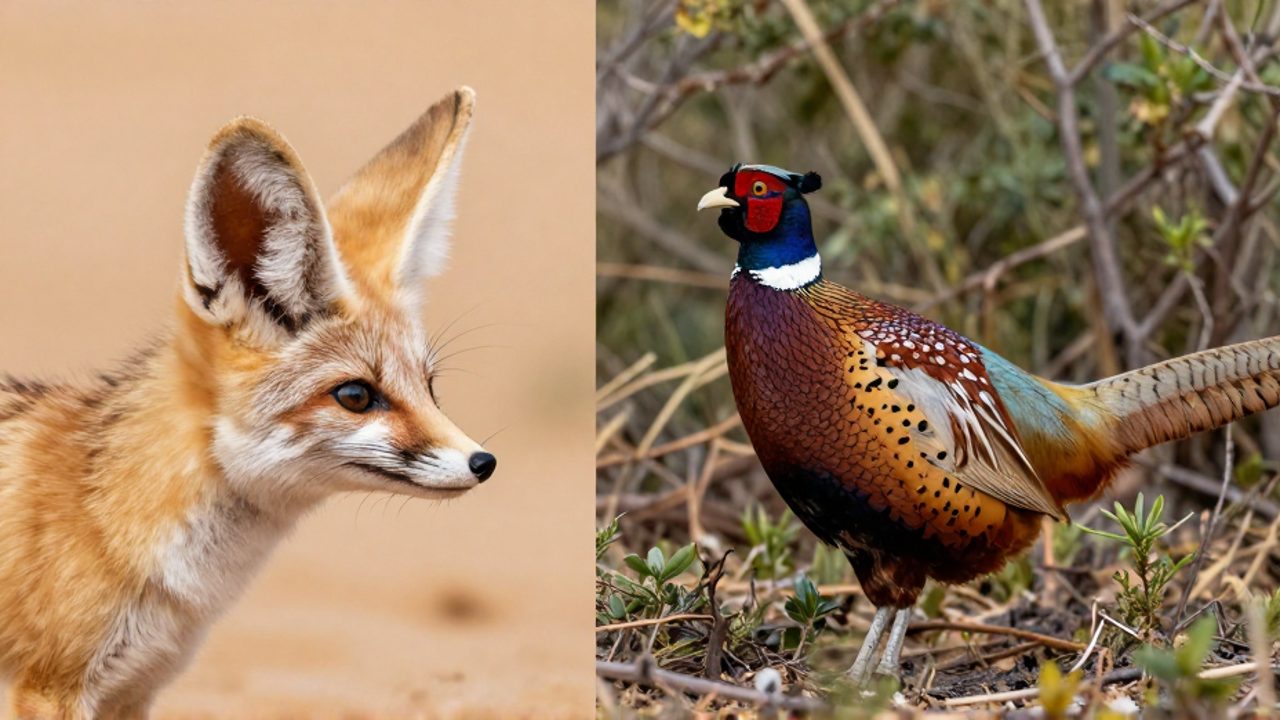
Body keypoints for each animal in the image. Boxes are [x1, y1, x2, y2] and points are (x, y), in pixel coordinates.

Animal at [0, 87, 497, 719]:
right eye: (355, 395)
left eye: (429, 386)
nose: (483, 462)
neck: (106, 508)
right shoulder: (52, 689)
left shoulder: (133, 688)